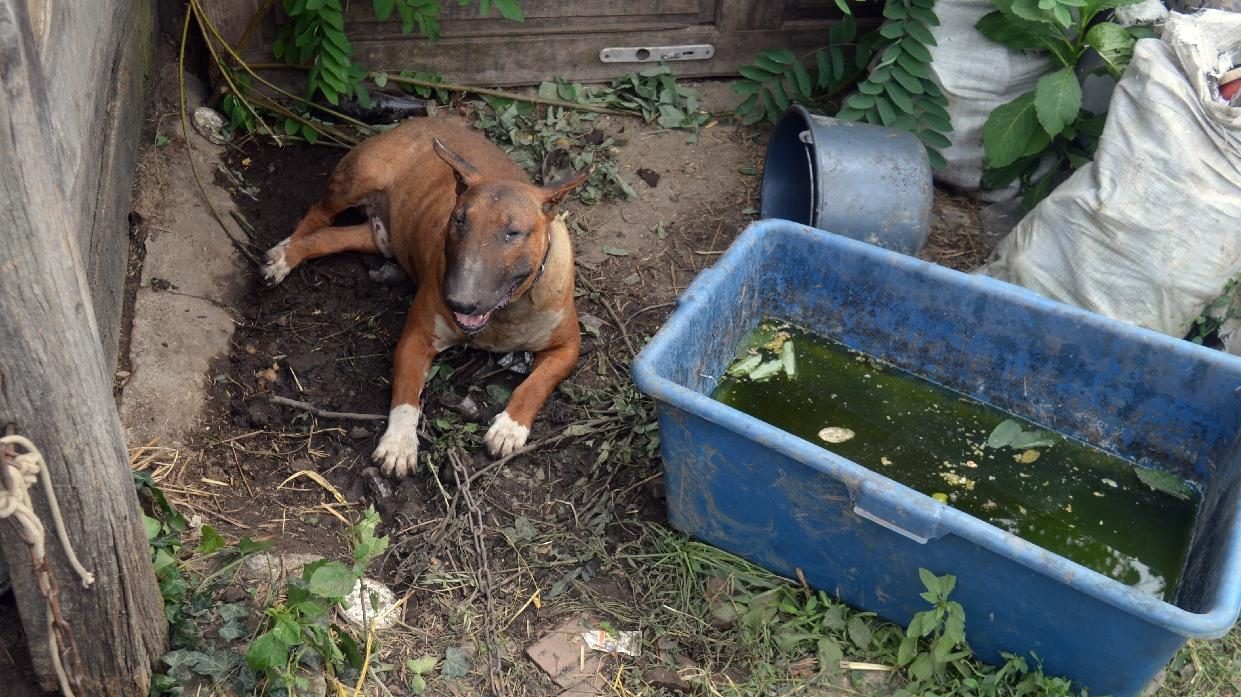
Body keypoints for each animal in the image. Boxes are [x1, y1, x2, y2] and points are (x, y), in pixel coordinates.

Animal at [259, 120, 588, 476]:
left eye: (513, 232)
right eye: (458, 220)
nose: (458, 301)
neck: (504, 314)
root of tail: (420, 121)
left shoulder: (568, 347)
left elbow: (536, 383)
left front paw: (508, 429)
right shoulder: (416, 338)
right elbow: (406, 395)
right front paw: (398, 445)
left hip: (378, 238)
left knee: (327, 236)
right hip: (356, 179)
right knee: (317, 216)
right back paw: (282, 256)